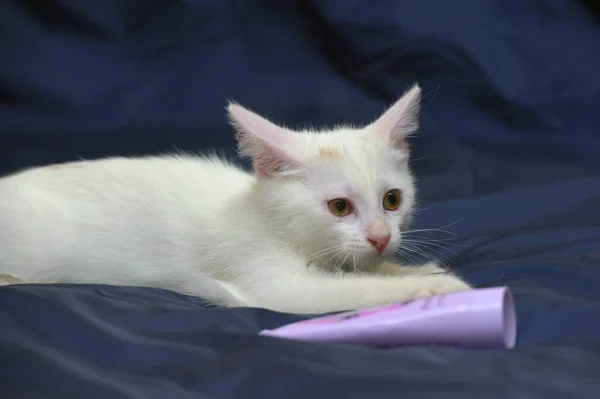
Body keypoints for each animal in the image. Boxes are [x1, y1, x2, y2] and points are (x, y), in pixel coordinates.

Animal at [0, 84, 472, 314]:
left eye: (392, 200)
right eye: (339, 207)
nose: (379, 237)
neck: (264, 218)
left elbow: (364, 272)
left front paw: (408, 268)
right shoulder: (268, 280)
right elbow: (351, 290)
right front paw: (436, 288)